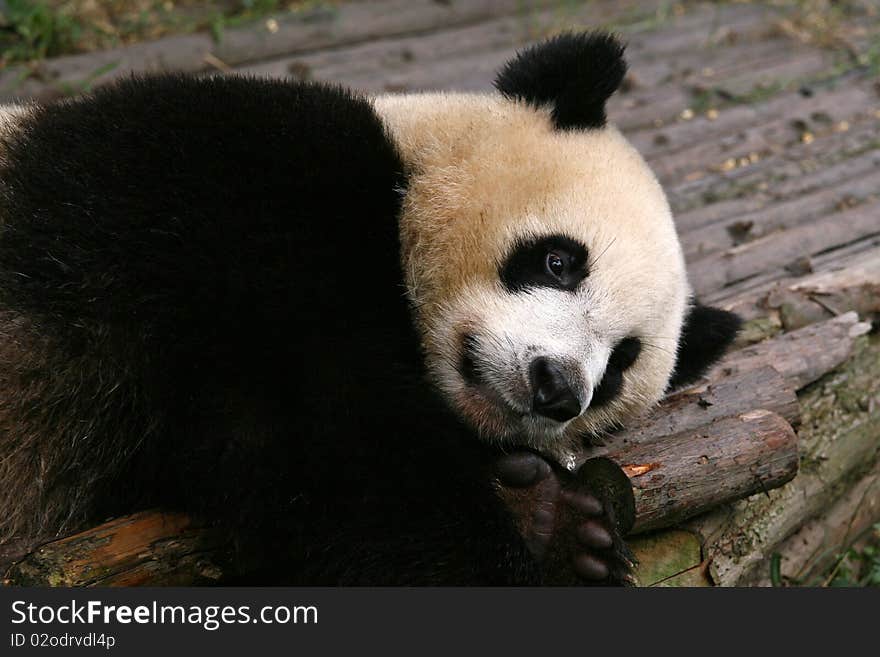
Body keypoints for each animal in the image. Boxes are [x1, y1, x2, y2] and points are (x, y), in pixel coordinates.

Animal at [0, 30, 736, 584]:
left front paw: (559, 526)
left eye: (619, 365)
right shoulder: (230, 195)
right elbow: (346, 446)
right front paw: (543, 531)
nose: (556, 388)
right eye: (560, 261)